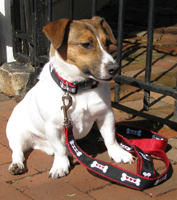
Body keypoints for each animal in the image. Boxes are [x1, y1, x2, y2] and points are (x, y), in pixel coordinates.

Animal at [6, 16, 133, 178]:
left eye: (107, 43)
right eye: (86, 44)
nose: (115, 68)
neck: (80, 88)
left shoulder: (106, 114)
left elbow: (110, 137)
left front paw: (118, 152)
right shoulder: (53, 127)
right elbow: (59, 149)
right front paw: (60, 165)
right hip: (17, 134)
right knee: (18, 151)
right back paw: (17, 165)